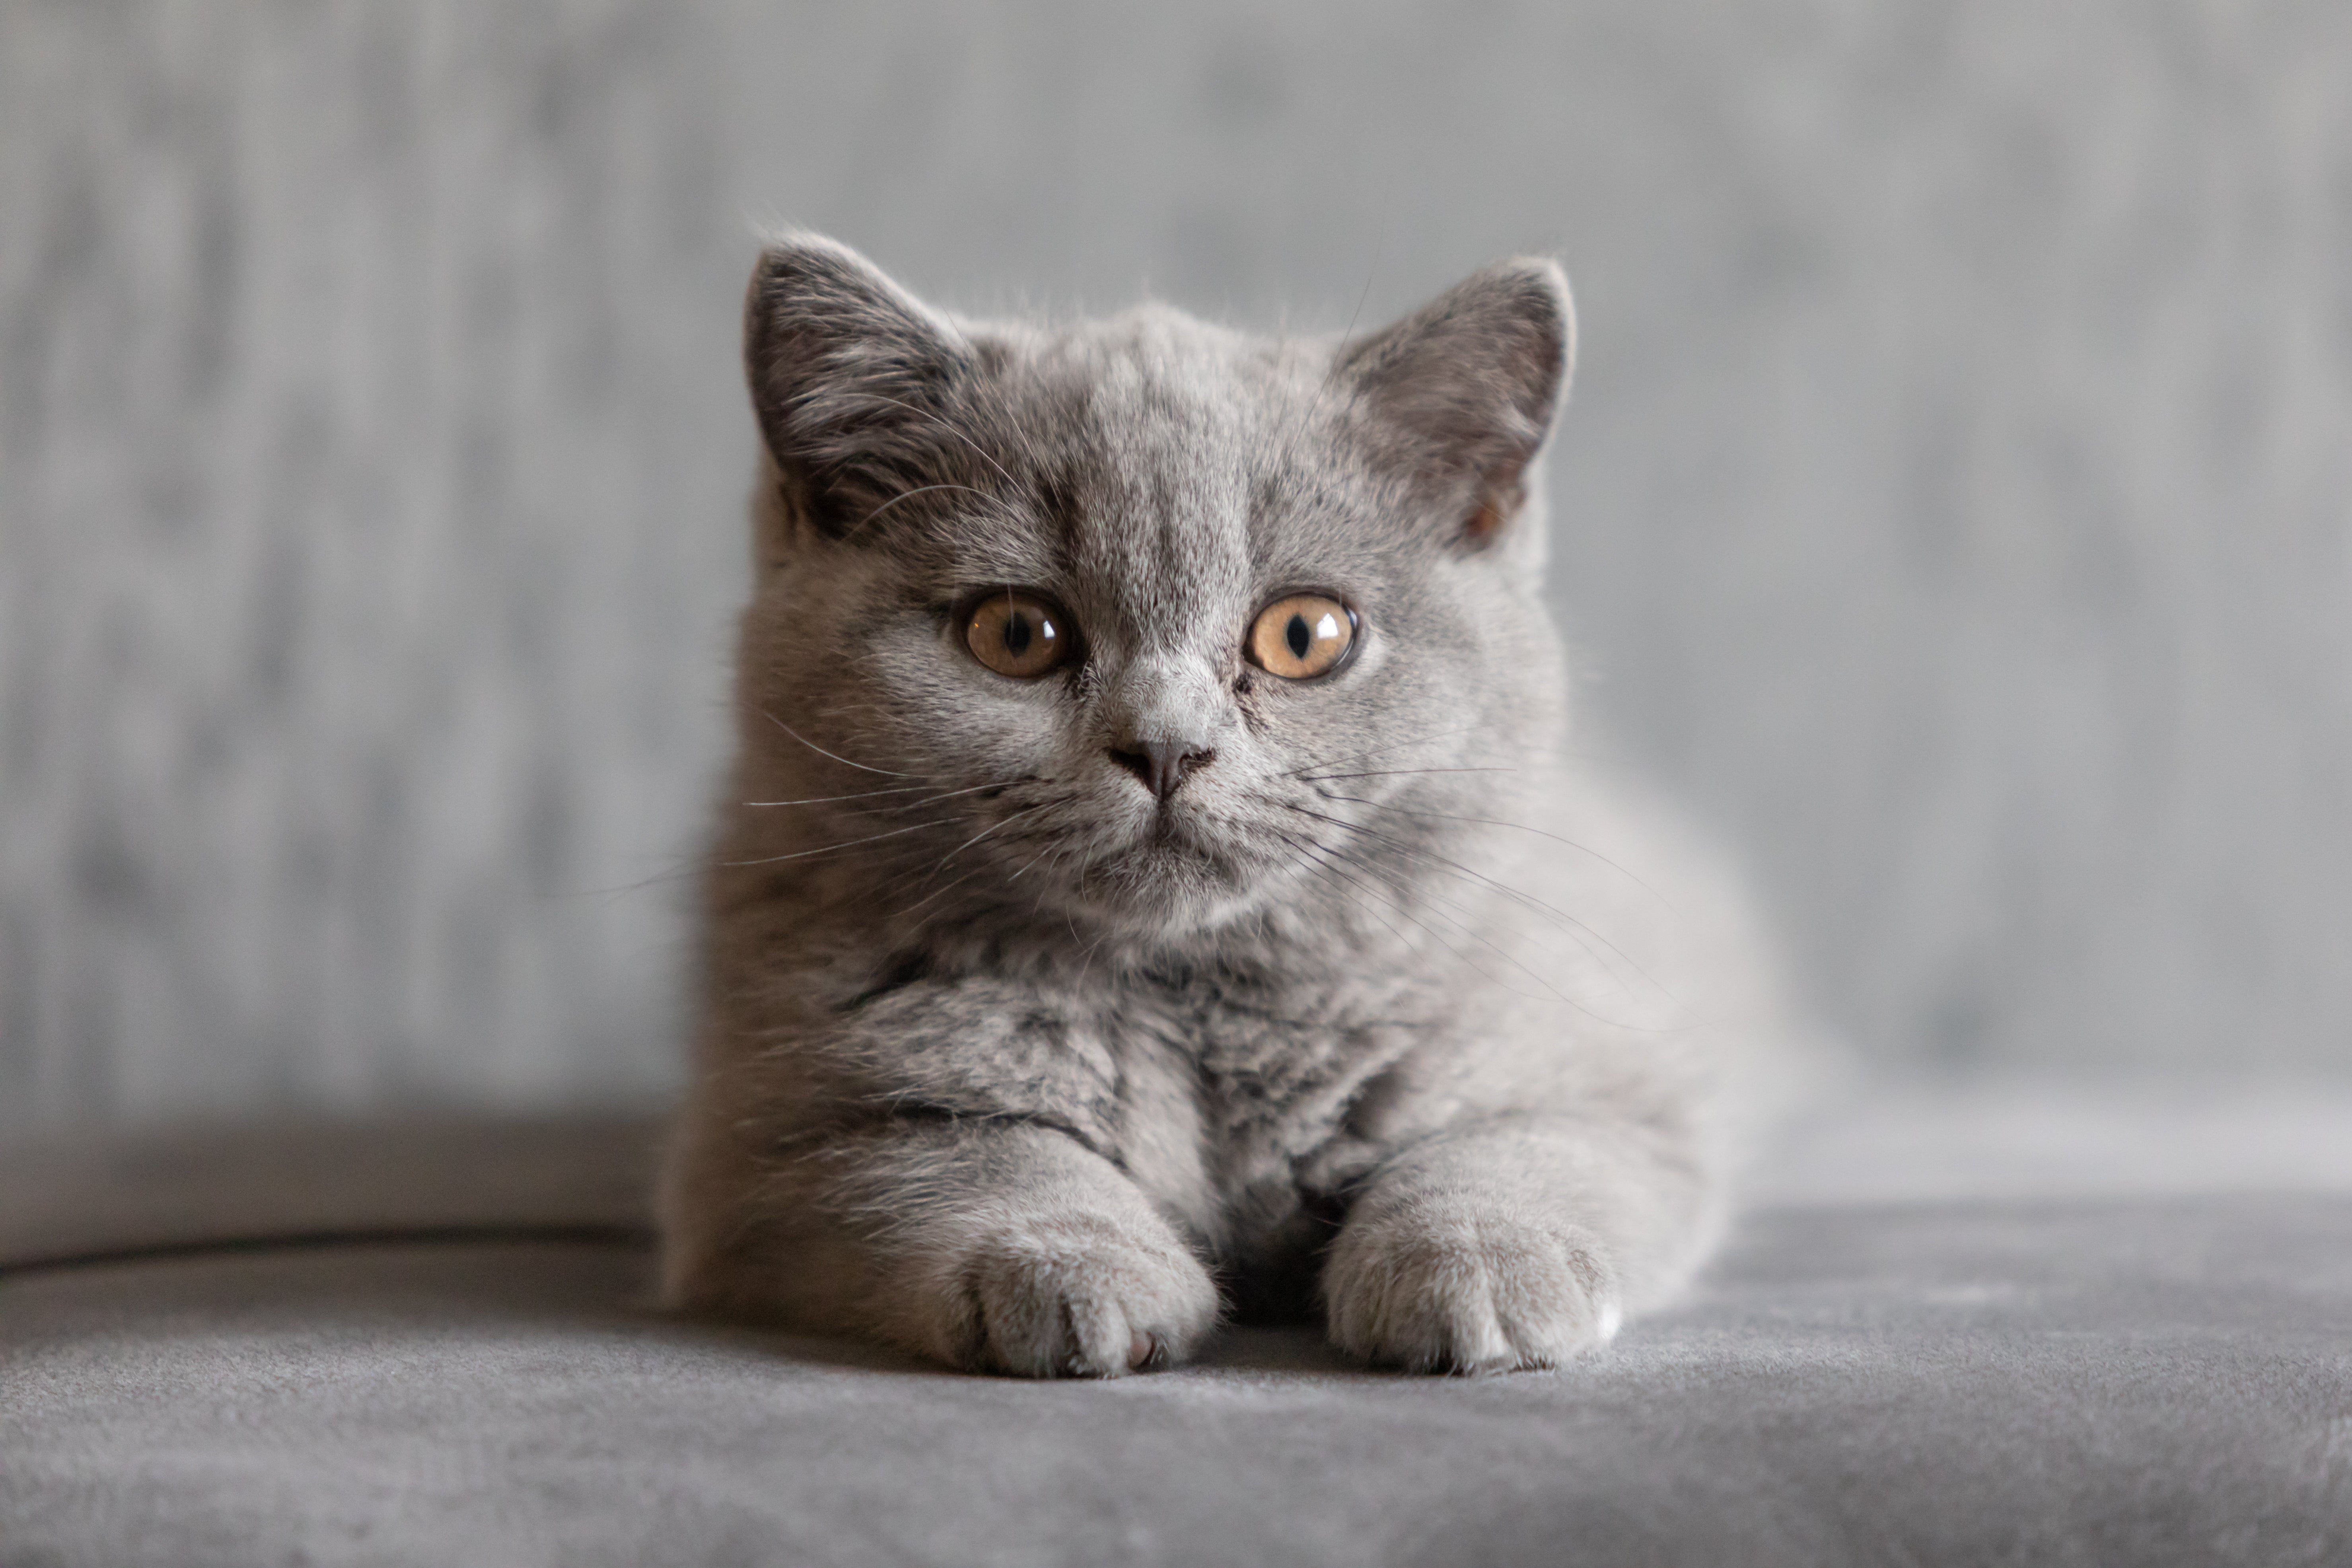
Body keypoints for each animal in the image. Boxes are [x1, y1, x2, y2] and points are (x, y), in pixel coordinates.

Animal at [654, 233, 1768, 1373]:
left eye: (1305, 635)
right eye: (1016, 634)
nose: (1165, 746)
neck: (1187, 996)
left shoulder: (1615, 1083)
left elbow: (1514, 1143)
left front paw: (1480, 1266)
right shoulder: (763, 1151)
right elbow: (963, 1155)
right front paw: (1073, 1267)